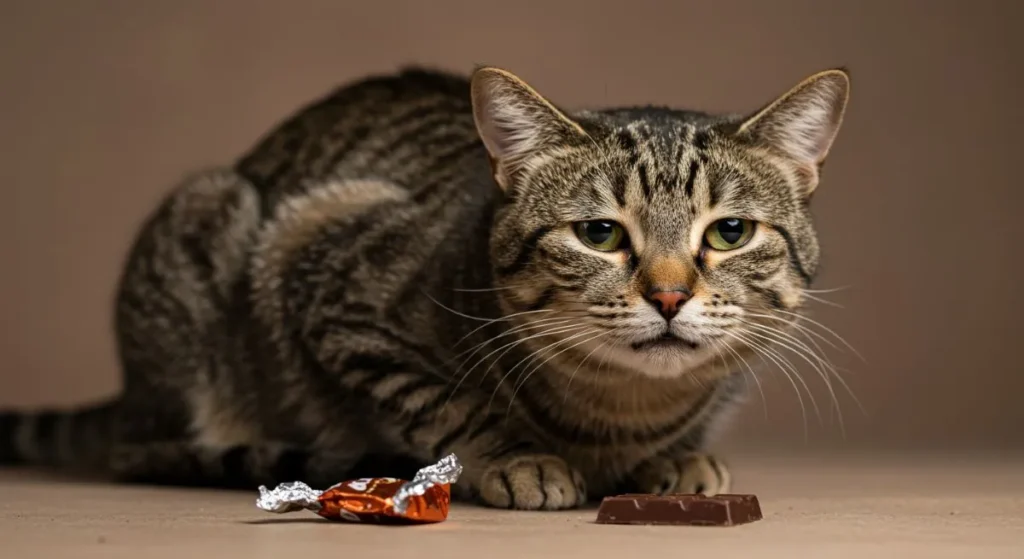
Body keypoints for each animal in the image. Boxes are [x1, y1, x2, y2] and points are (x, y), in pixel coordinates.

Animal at [0, 65, 847, 509]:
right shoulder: (334, 288)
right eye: (600, 234)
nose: (669, 296)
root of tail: (128, 391)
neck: (619, 410)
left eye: (729, 232)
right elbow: (448, 401)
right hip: (211, 224)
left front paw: (677, 458)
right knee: (144, 449)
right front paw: (521, 457)